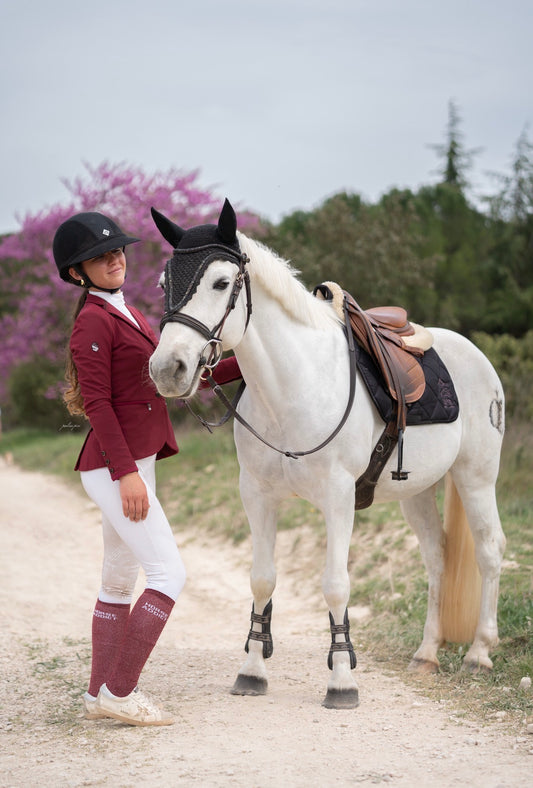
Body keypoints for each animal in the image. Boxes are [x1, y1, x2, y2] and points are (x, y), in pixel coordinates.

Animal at [148, 199, 506, 709]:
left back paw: (479, 653)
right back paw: (426, 654)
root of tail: (475, 355)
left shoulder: (338, 499)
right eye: (164, 285)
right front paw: (252, 671)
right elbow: (262, 579)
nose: (167, 369)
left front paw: (341, 681)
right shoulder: (256, 495)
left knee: (490, 551)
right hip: (418, 491)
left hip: (477, 477)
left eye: (220, 283)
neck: (294, 387)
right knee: (437, 557)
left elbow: (336, 586)